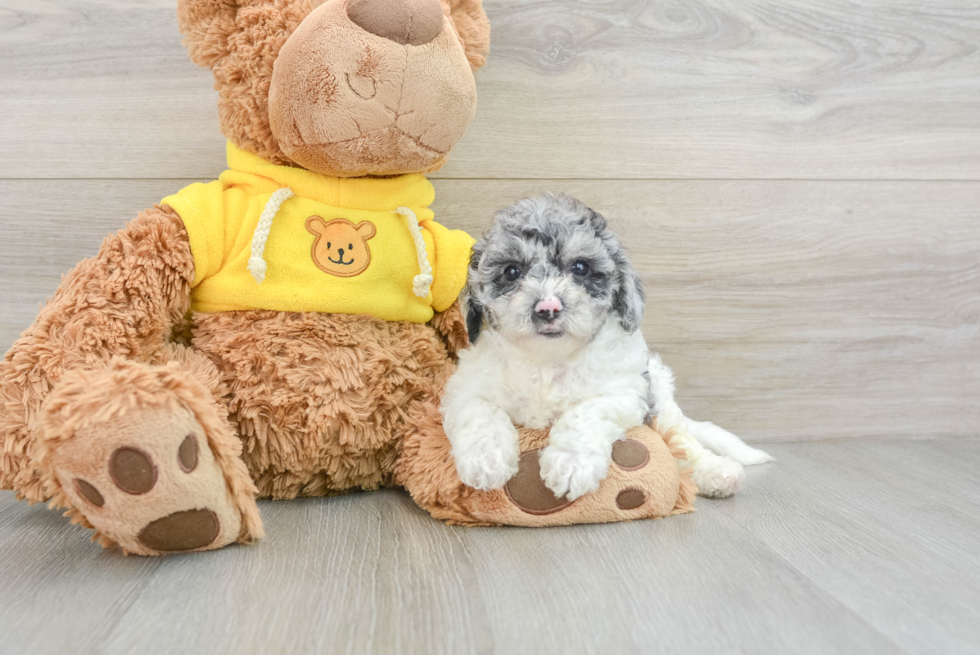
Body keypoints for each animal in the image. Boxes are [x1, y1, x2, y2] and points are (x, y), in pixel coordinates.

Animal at [442, 192, 772, 500]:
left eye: (580, 267)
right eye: (512, 271)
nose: (547, 308)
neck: (548, 361)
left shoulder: (625, 391)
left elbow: (586, 412)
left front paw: (571, 464)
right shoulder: (464, 387)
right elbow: (480, 411)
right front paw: (485, 460)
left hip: (661, 398)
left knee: (682, 442)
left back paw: (717, 473)